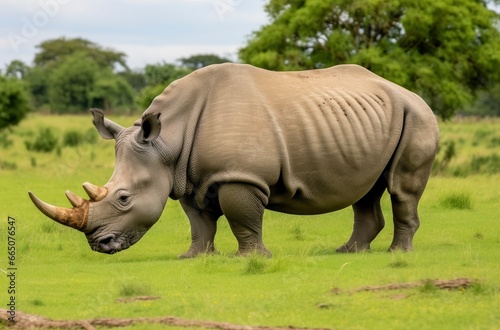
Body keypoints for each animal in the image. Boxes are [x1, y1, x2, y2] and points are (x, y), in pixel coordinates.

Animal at [29, 63, 440, 256]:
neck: (167, 141)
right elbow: (199, 221)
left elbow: (243, 216)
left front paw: (252, 258)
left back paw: (397, 253)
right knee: (366, 190)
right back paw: (349, 251)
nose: (100, 245)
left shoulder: (241, 174)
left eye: (124, 198)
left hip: (417, 116)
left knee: (401, 188)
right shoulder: (187, 177)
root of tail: (414, 94)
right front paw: (193, 257)